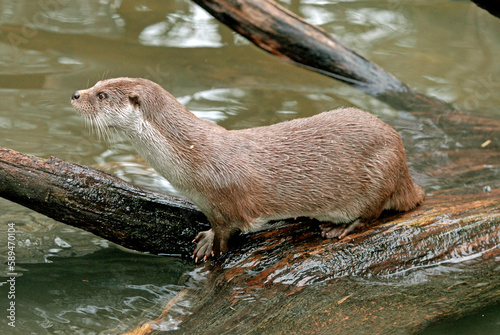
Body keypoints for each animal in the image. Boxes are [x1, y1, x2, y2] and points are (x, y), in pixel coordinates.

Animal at [71, 77, 426, 262]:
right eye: (96, 83)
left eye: (101, 95)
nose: (75, 94)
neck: (191, 157)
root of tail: (405, 168)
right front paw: (205, 239)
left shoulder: (224, 204)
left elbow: (227, 234)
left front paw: (214, 251)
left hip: (380, 172)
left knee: (373, 212)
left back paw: (339, 228)